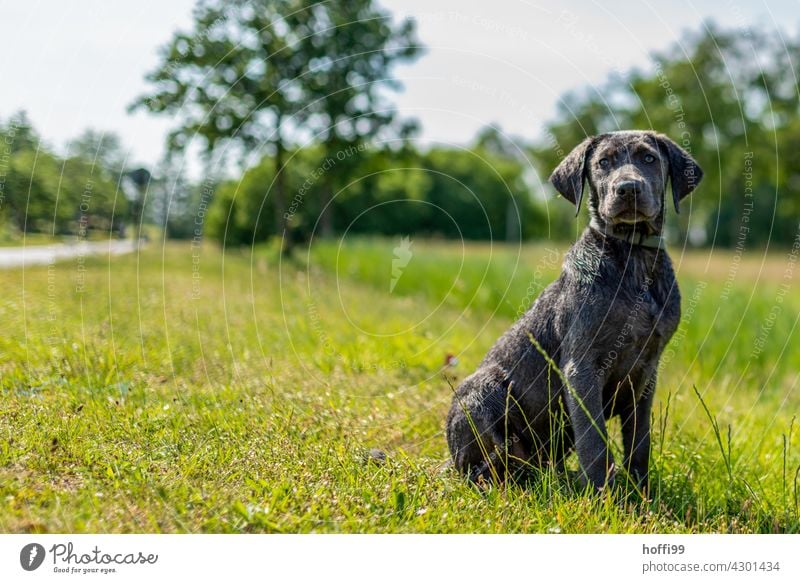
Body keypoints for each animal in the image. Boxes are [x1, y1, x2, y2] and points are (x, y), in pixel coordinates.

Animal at [446, 130, 704, 490]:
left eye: (649, 158)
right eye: (603, 162)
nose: (628, 189)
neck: (633, 255)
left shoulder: (647, 371)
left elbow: (639, 442)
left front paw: (642, 493)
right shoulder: (580, 367)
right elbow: (594, 441)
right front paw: (603, 495)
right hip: (485, 388)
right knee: (484, 466)